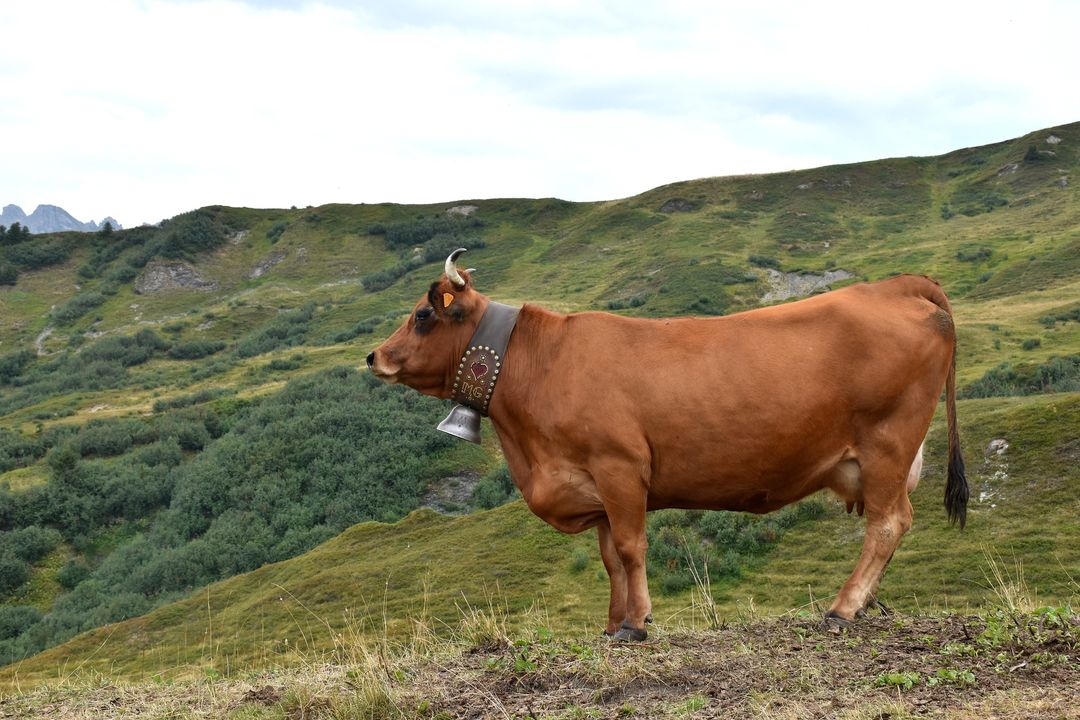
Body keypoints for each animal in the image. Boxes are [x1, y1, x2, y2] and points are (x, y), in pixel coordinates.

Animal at [371, 252, 972, 643]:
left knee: (888, 523)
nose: (374, 356)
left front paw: (636, 625)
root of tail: (897, 285)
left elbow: (632, 548)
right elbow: (610, 558)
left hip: (888, 444)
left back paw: (844, 608)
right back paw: (862, 604)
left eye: (422, 315)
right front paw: (613, 624)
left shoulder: (620, 468)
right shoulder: (594, 487)